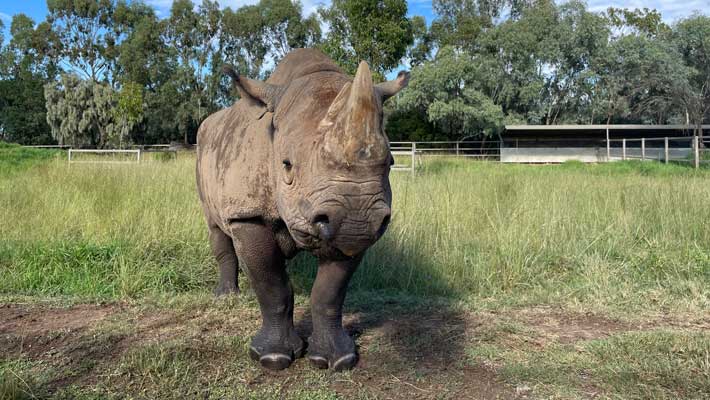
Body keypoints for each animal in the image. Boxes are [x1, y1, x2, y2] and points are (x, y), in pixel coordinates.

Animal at [196, 49, 409, 371]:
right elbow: (272, 285)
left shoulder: (348, 228)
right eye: (286, 165)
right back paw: (226, 297)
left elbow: (329, 293)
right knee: (215, 225)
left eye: (391, 163)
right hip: (203, 153)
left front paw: (338, 359)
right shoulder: (248, 213)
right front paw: (272, 358)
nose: (356, 218)